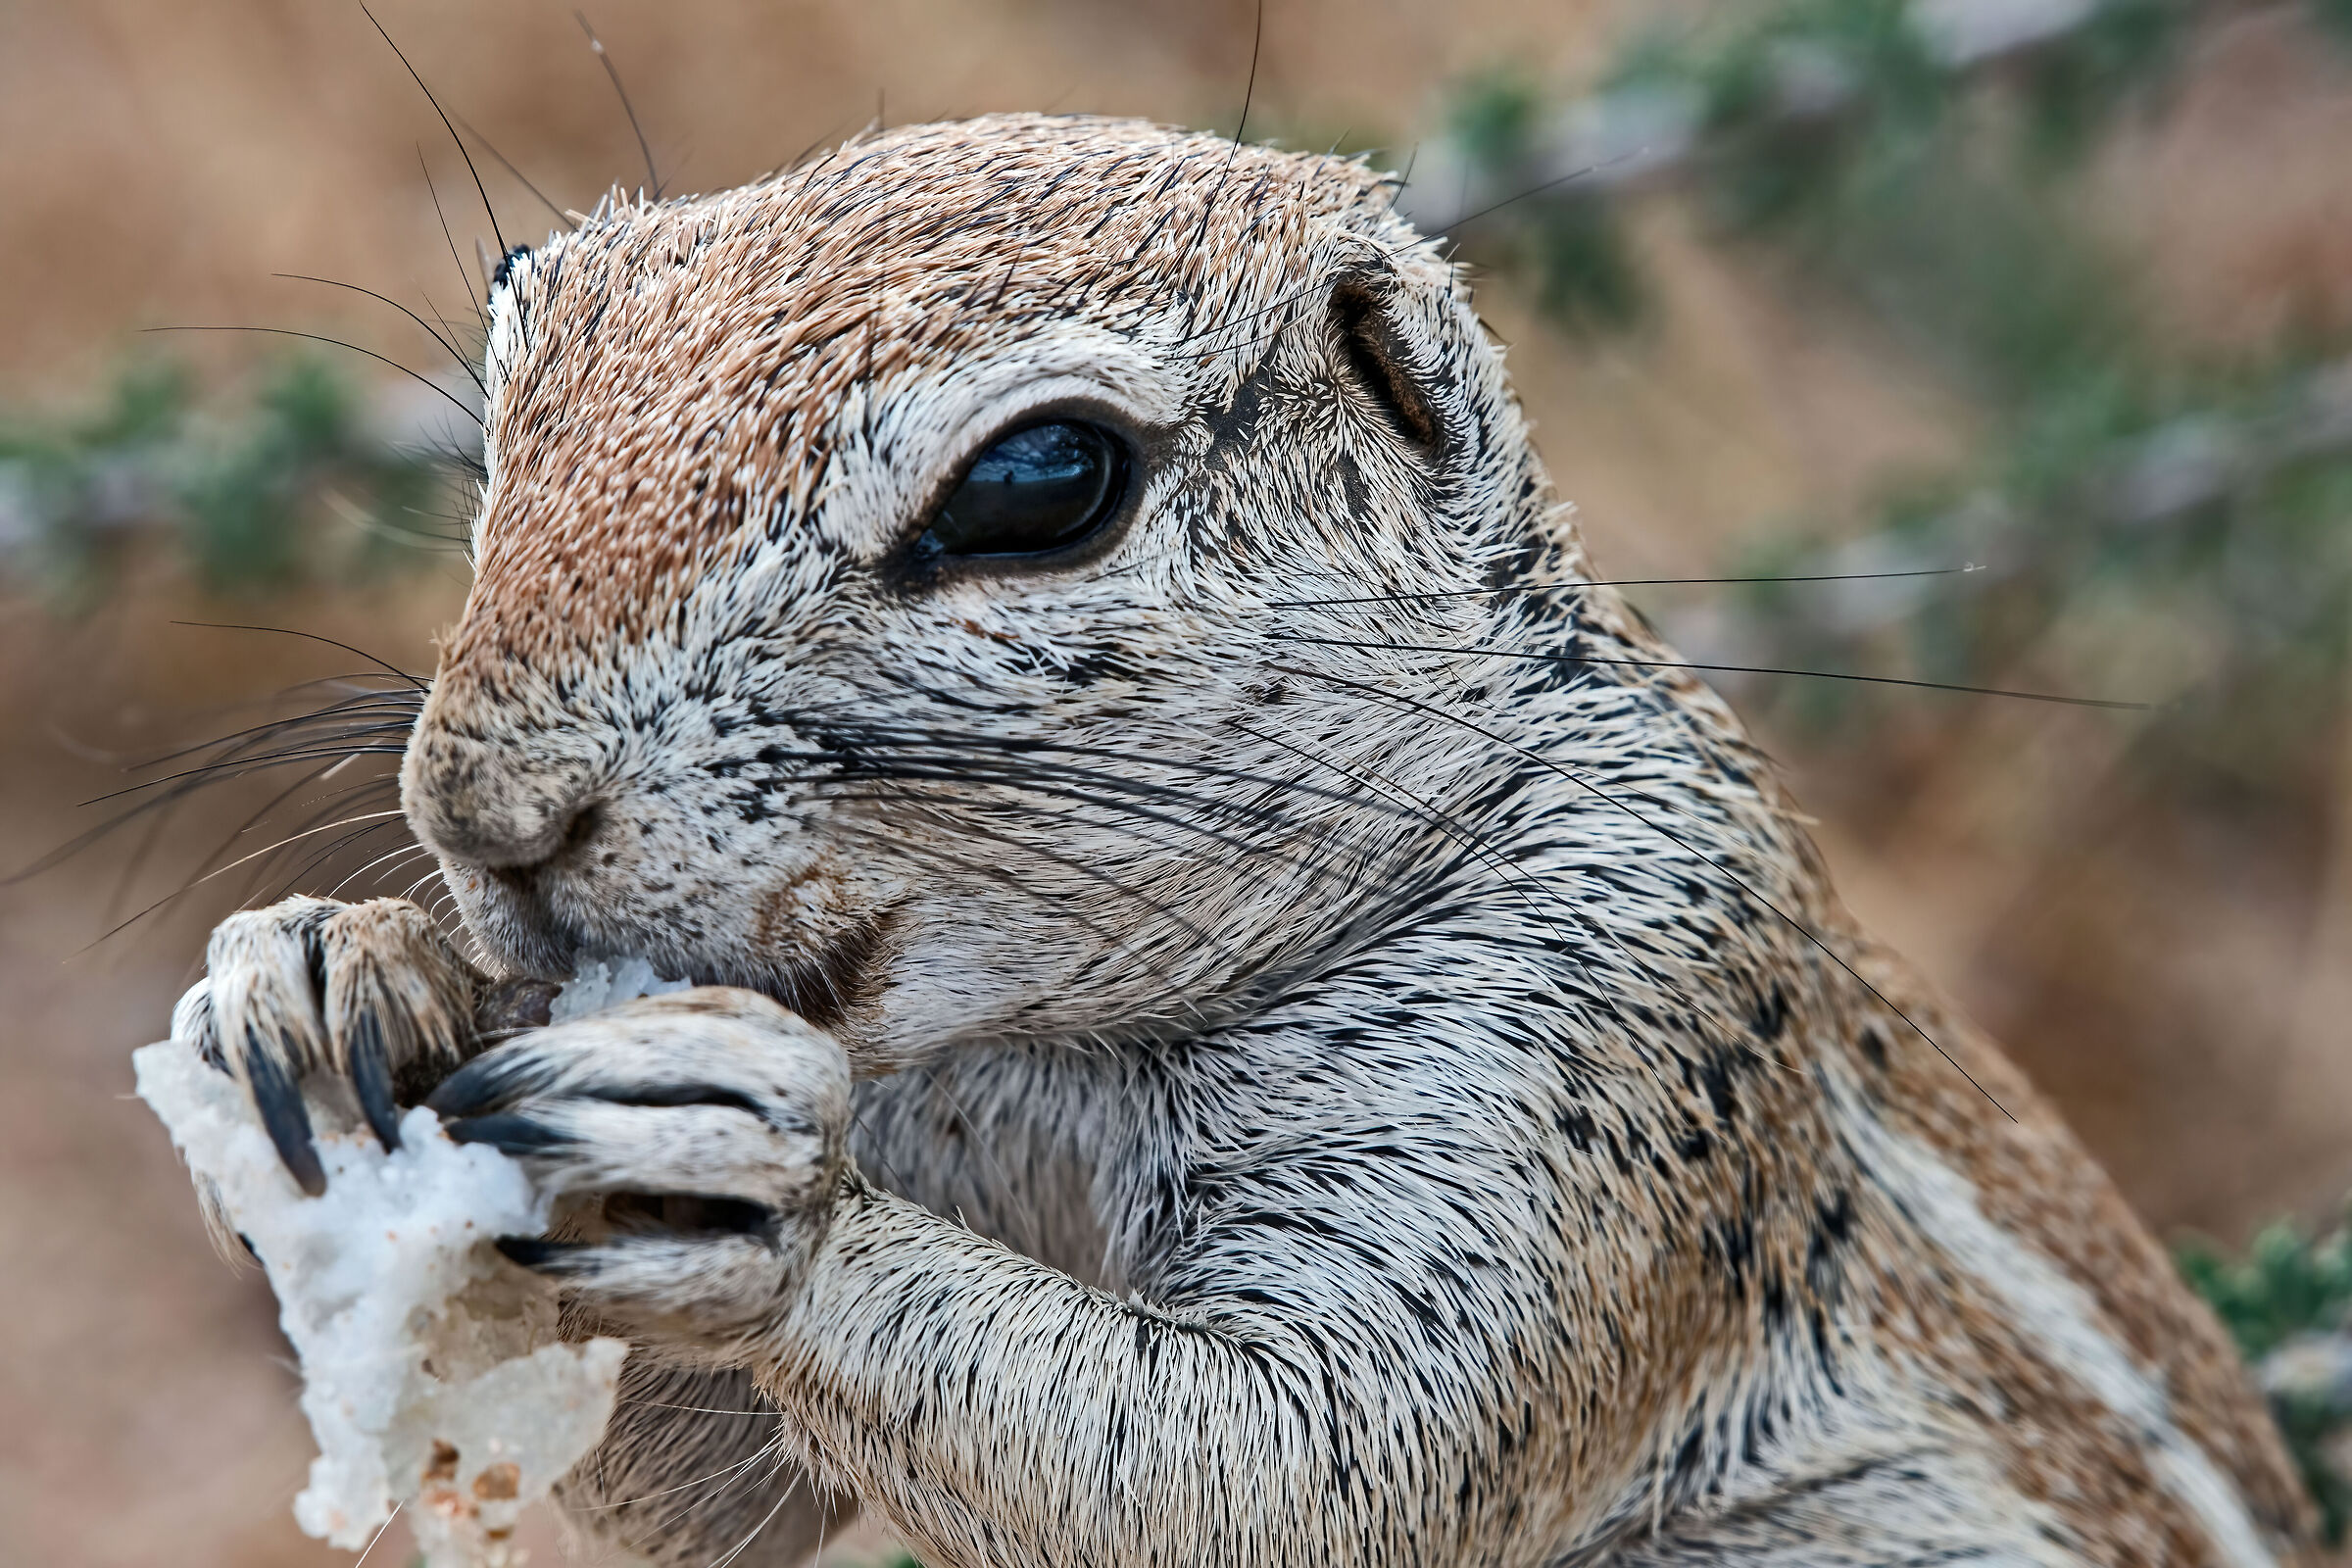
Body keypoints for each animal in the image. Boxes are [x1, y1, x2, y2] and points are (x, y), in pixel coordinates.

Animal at [165, 114, 2314, 1567]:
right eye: (523, 353)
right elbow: (665, 1492)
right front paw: (325, 973)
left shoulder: (1602, 1047)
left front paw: (738, 1176)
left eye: (1044, 479)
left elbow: (1291, 1468)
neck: (1040, 1056)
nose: (481, 811)